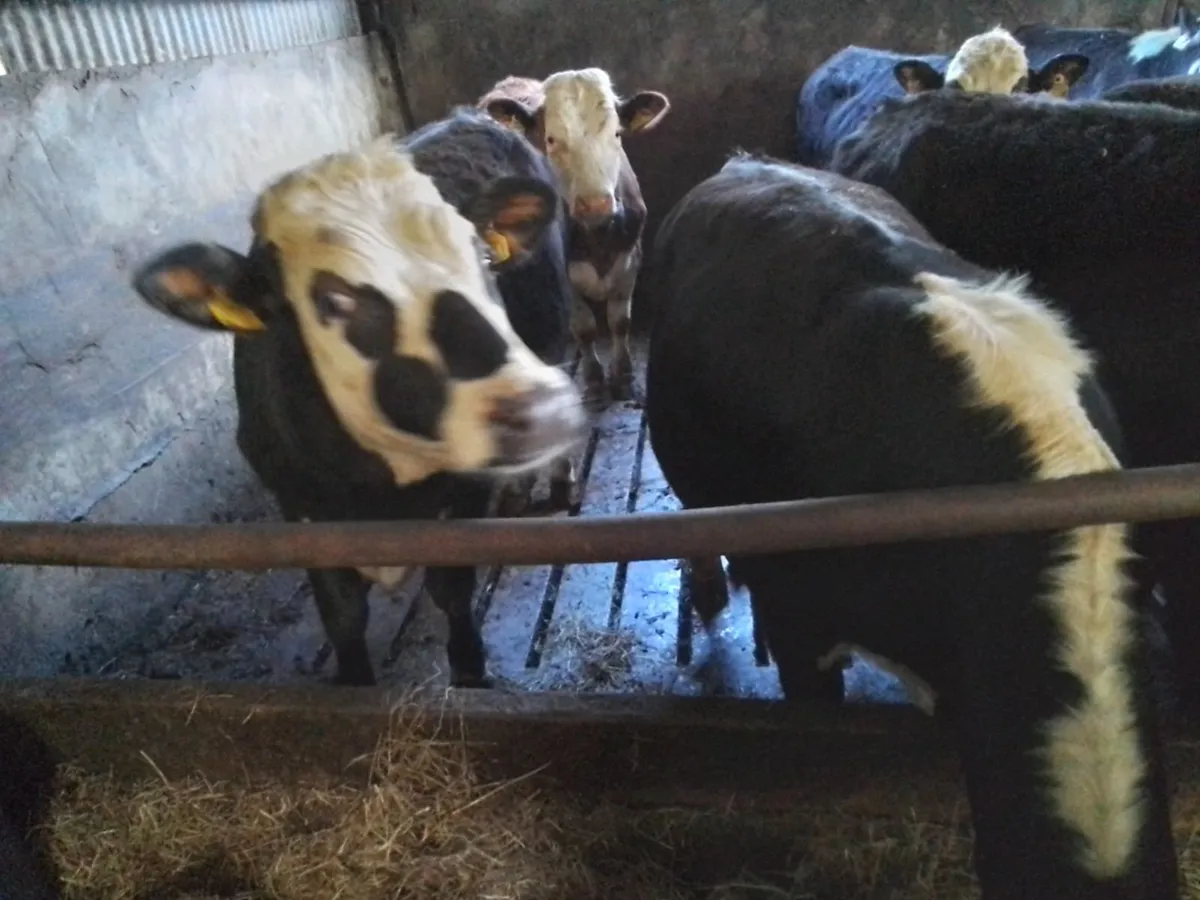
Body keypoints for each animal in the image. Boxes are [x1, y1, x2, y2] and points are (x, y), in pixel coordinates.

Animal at [129, 113, 588, 688]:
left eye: (484, 256)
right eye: (334, 300)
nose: (539, 408)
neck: (378, 489)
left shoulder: (460, 499)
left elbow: (451, 590)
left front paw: (470, 670)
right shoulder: (301, 507)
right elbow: (342, 614)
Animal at [479, 68, 670, 408]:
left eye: (617, 135)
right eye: (551, 140)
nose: (596, 204)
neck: (598, 238)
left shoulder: (631, 257)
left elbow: (620, 322)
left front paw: (624, 379)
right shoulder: (566, 276)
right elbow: (584, 329)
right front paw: (594, 382)